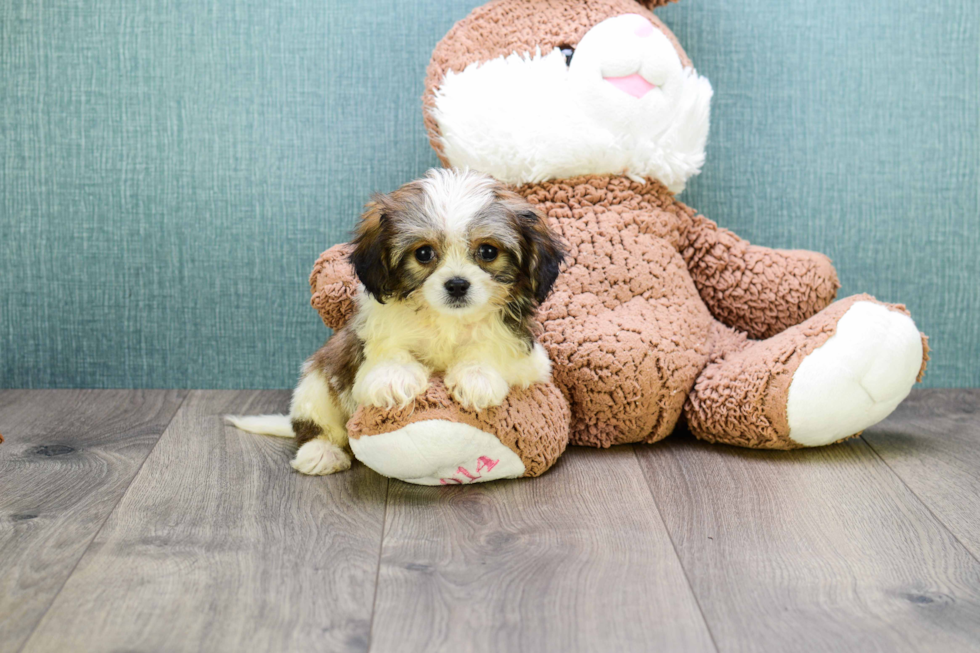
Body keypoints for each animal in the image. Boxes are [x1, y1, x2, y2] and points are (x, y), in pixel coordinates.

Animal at [229, 168, 564, 474]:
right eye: (424, 253)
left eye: (488, 251)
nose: (457, 284)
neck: (447, 320)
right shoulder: (370, 341)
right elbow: (391, 353)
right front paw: (394, 378)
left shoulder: (529, 360)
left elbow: (489, 349)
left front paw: (476, 377)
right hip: (317, 383)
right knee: (317, 424)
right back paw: (321, 452)